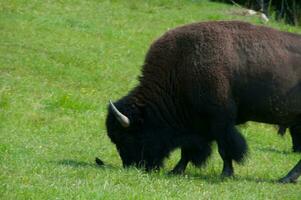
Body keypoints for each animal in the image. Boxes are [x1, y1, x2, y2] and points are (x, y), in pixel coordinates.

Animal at [105, 20, 300, 183]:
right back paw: (286, 178)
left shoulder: (220, 121)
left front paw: (226, 174)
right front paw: (176, 171)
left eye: (128, 137)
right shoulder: (198, 127)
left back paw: (285, 179)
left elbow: (224, 148)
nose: (132, 167)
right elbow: (188, 150)